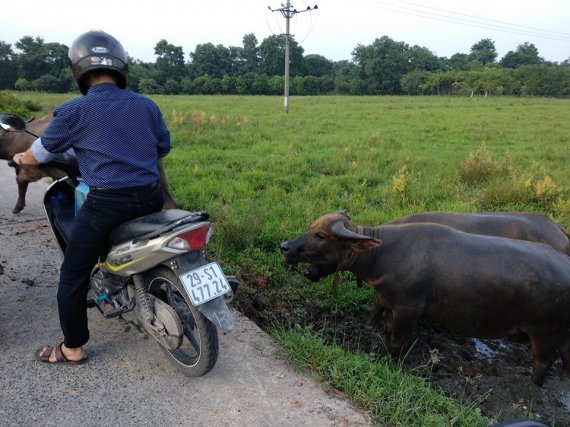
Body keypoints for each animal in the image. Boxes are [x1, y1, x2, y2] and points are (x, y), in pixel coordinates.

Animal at [280, 212, 568, 386]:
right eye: (312, 228)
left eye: (321, 235)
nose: (285, 246)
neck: (384, 253)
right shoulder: (391, 304)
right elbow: (383, 325)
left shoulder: (407, 310)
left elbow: (396, 342)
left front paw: (392, 364)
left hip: (545, 333)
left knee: (542, 362)